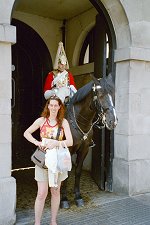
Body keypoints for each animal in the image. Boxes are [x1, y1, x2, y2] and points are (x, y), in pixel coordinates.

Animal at [60, 74, 118, 209]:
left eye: (113, 94)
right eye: (100, 95)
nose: (113, 121)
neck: (79, 122)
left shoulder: (84, 150)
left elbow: (77, 171)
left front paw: (78, 197)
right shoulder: (67, 151)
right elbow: (67, 173)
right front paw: (64, 199)